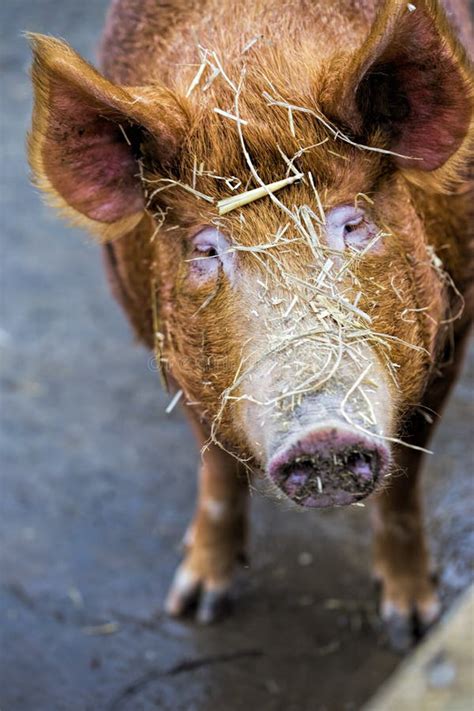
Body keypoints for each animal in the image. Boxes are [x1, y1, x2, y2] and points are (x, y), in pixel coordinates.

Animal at [27, 0, 472, 648]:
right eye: (205, 249)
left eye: (354, 224)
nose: (324, 435)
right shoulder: (170, 352)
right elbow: (215, 466)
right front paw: (193, 607)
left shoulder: (454, 327)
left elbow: (406, 478)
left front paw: (411, 626)